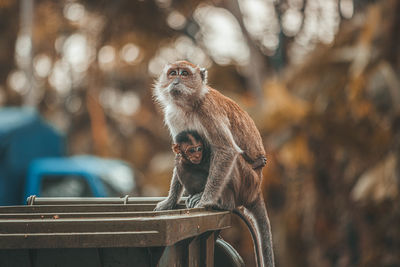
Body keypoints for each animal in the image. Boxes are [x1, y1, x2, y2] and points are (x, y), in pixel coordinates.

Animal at [153, 60, 276, 267]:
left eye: (184, 73)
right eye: (172, 73)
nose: (176, 81)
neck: (189, 105)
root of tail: (257, 188)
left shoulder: (208, 111)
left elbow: (226, 150)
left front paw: (206, 200)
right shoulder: (173, 116)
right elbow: (179, 152)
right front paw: (170, 201)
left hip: (247, 182)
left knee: (230, 159)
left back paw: (223, 203)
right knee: (182, 161)